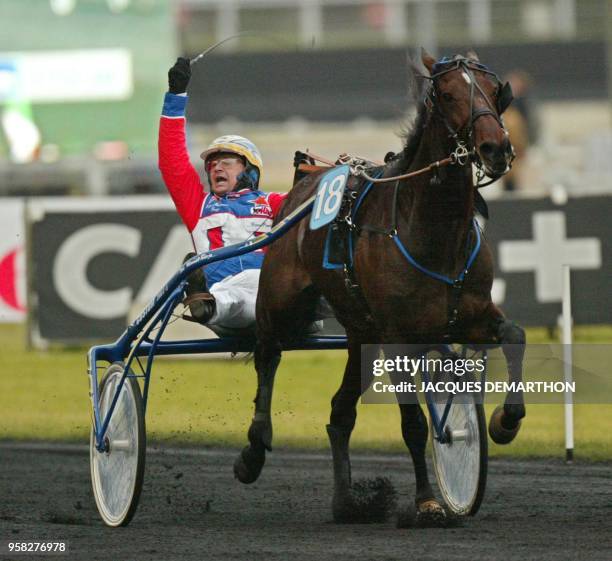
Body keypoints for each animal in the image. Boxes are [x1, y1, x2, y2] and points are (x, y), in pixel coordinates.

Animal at [232, 50, 524, 524]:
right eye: (447, 94)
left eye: (494, 90)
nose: (495, 147)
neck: (433, 232)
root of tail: (305, 180)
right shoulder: (396, 335)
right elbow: (414, 424)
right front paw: (427, 501)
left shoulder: (469, 314)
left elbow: (514, 336)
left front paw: (505, 422)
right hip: (281, 303)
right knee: (267, 356)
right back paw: (253, 452)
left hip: (360, 335)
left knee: (339, 412)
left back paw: (346, 502)